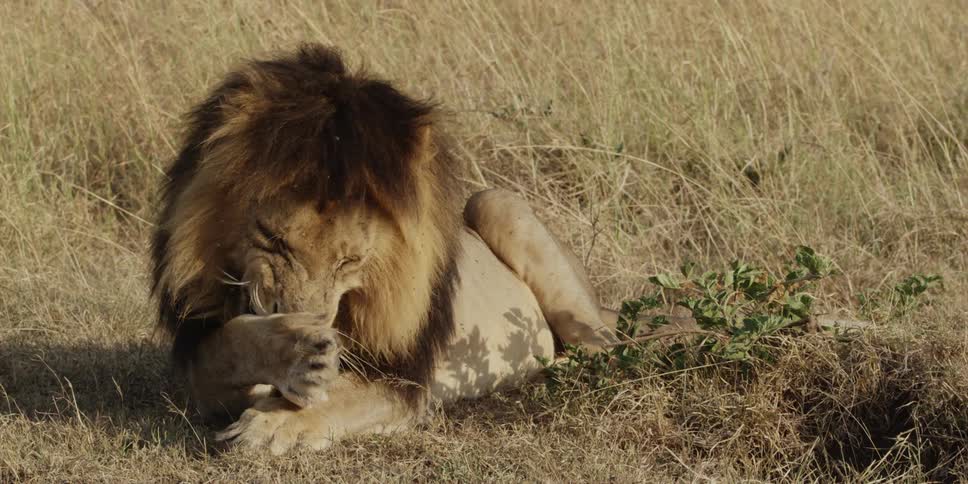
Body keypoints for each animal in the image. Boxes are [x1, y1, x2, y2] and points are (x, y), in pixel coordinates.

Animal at [151, 44, 619, 454]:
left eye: (349, 262)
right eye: (273, 240)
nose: (314, 328)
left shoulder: (403, 380)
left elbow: (340, 397)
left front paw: (272, 423)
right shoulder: (201, 351)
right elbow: (225, 348)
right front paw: (298, 352)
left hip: (497, 204)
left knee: (606, 348)